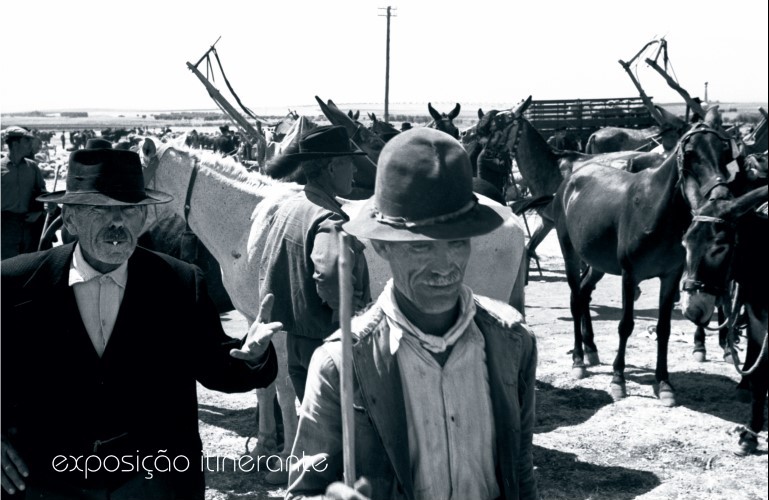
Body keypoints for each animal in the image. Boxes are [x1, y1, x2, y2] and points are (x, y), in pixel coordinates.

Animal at [552, 108, 736, 406]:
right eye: (691, 153)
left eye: (725, 151)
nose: (721, 198)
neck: (656, 210)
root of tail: (574, 174)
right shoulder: (630, 275)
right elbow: (625, 325)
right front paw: (618, 380)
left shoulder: (671, 276)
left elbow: (664, 329)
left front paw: (664, 383)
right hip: (570, 252)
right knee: (575, 298)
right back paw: (579, 359)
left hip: (597, 263)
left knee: (583, 293)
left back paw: (591, 350)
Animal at [680, 186, 764, 456]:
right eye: (684, 243)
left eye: (720, 248)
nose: (691, 310)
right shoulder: (758, 323)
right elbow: (759, 377)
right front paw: (750, 435)